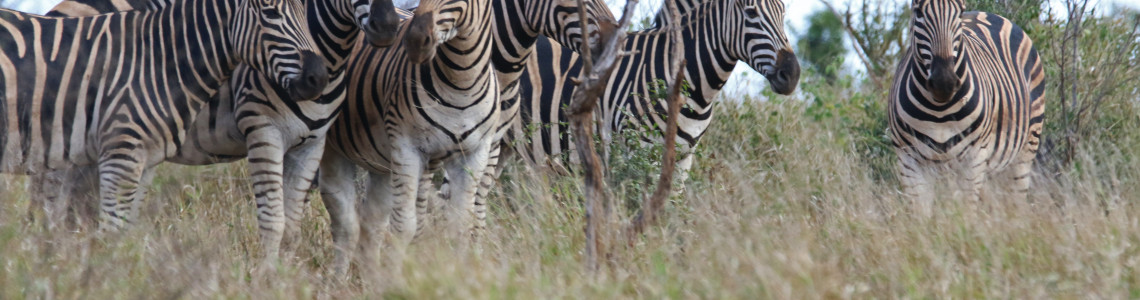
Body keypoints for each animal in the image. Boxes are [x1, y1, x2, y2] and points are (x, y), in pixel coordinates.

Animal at [0, 0, 330, 244]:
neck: (161, 61)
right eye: (271, 13)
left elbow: (123, 231)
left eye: (306, 10)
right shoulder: (121, 152)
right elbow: (110, 234)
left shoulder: (144, 158)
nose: (318, 78)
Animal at [36, 0, 401, 260]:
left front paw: (288, 275)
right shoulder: (263, 130)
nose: (387, 27)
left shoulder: (313, 144)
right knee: (53, 202)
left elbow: (293, 226)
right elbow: (274, 220)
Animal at [889, 0, 1044, 207]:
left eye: (959, 14)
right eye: (918, 12)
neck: (939, 111)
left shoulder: (974, 159)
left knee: (1016, 201)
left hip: (1025, 149)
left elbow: (966, 212)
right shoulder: (908, 161)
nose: (944, 82)